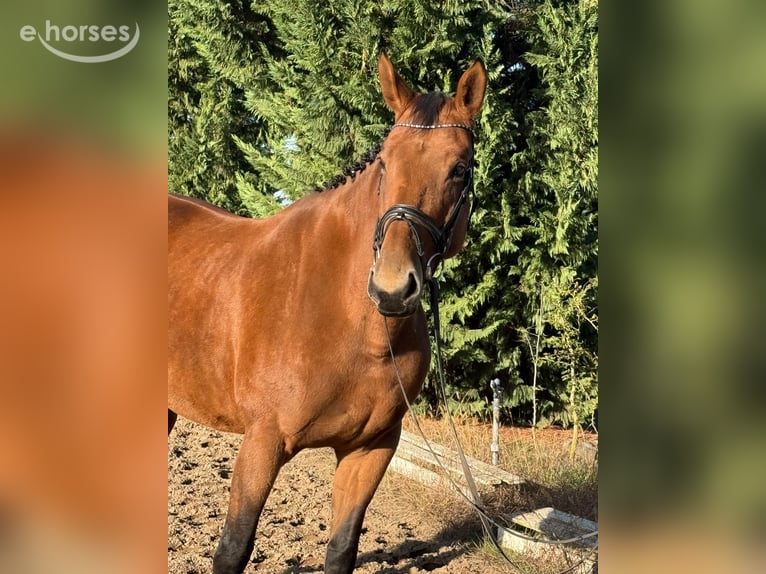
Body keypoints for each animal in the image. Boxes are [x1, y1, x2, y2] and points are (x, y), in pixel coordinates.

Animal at [168, 53, 486, 574]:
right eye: (385, 162)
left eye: (460, 169)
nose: (392, 288)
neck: (353, 327)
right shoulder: (261, 443)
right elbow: (233, 548)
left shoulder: (371, 449)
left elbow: (341, 549)